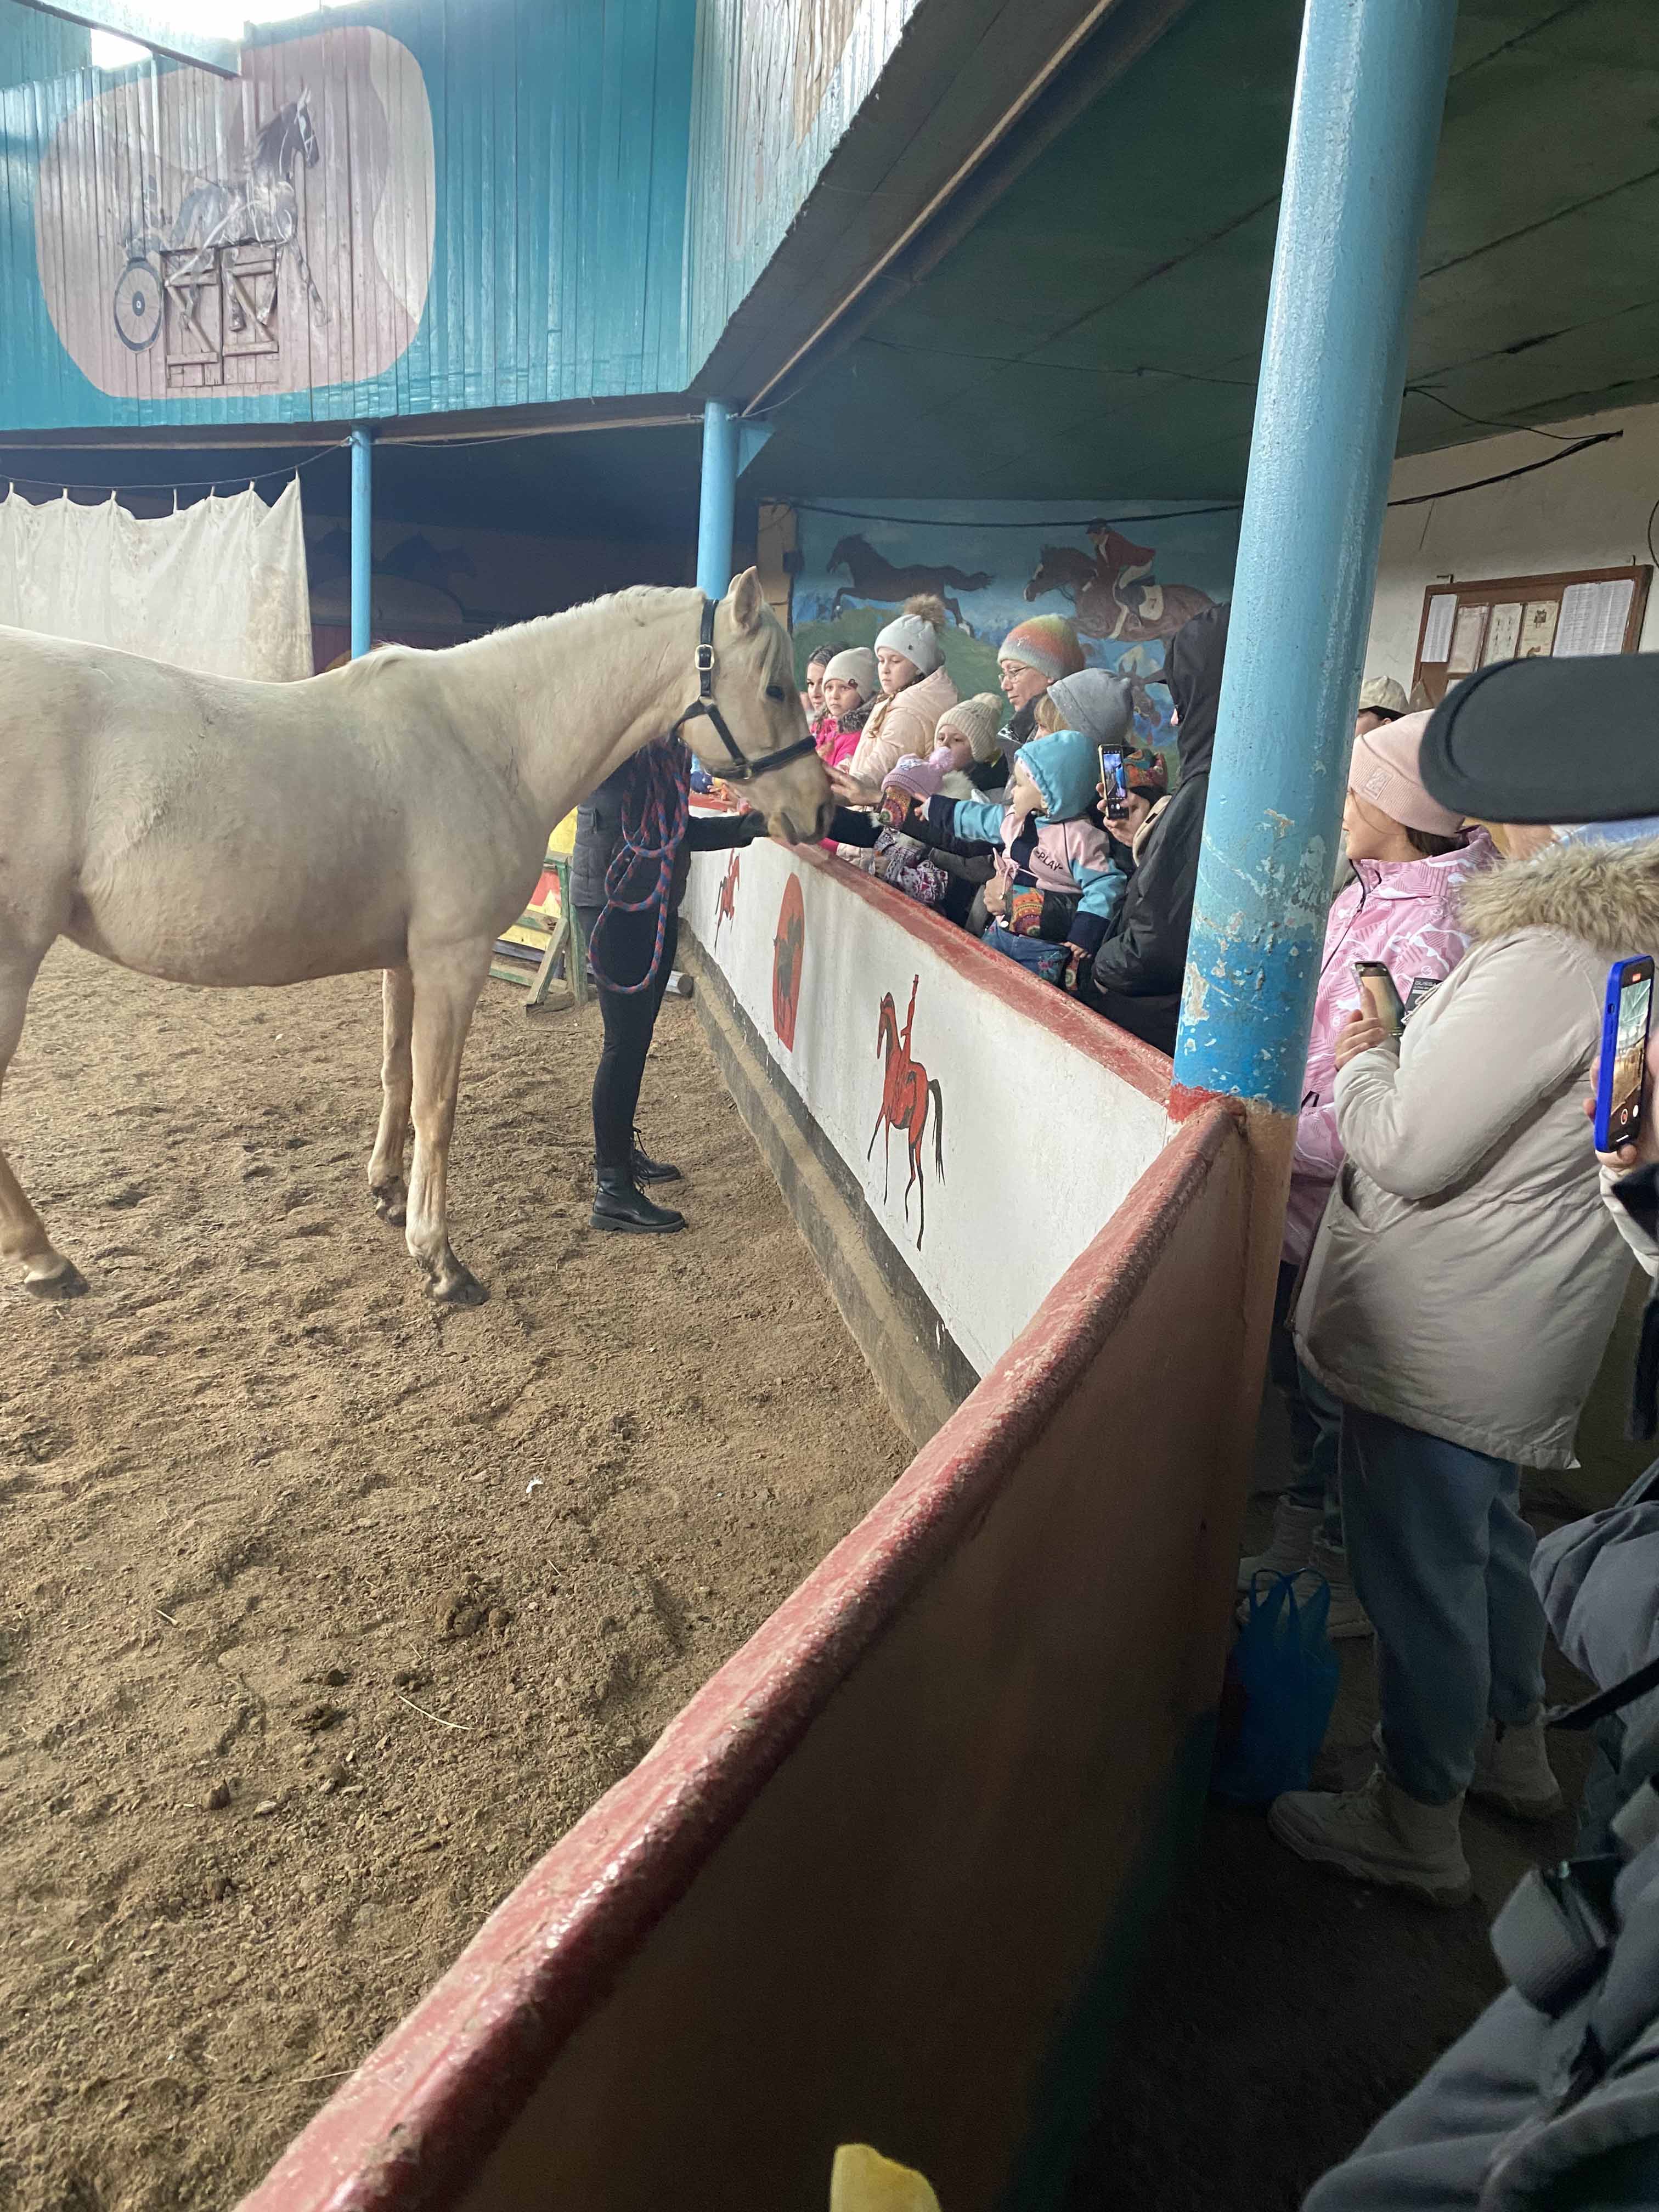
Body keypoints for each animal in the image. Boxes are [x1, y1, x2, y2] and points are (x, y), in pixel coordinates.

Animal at [0, 571, 832, 1300]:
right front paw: (440, 1259)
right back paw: (46, 1260)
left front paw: (388, 1190)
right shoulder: (452, 961)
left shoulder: (404, 963)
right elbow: (439, 1102)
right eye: (775, 688)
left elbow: (397, 1074)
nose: (821, 808)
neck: (489, 736)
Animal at [871, 978, 946, 1256]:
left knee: (916, 1174)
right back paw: (918, 1233)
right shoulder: (885, 1113)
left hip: (913, 1136)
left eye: (882, 1018)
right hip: (919, 1136)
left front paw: (883, 1192)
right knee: (921, 1174)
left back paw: (910, 1220)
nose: (878, 1049)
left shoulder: (885, 1113)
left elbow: (882, 1143)